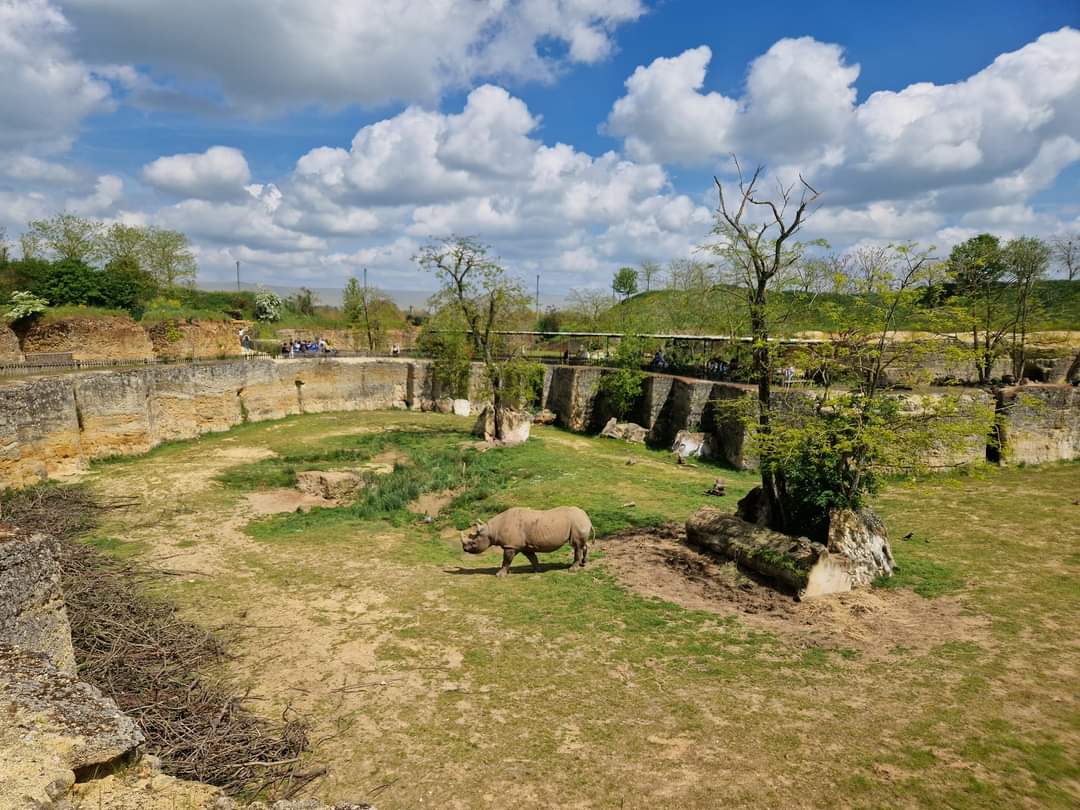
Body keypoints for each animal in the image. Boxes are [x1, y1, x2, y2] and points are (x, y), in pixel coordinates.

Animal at [461, 506, 594, 577]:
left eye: (473, 543)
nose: (464, 549)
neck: (491, 530)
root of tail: (587, 517)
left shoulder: (510, 546)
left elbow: (506, 560)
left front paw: (500, 575)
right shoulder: (524, 546)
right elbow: (532, 558)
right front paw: (537, 570)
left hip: (577, 521)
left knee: (576, 545)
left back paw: (572, 569)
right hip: (578, 522)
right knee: (582, 544)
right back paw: (584, 563)